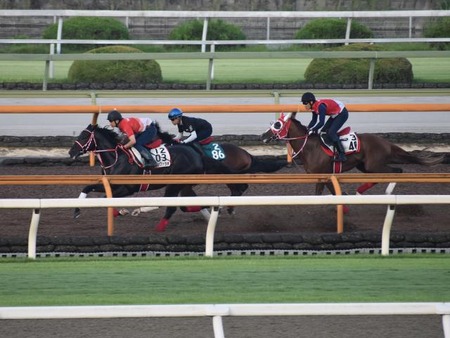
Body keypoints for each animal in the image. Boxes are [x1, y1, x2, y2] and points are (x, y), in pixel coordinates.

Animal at [68, 123, 241, 232]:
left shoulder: (127, 188)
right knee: (187, 203)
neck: (116, 158)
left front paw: (121, 211)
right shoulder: (110, 184)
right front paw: (77, 210)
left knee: (173, 206)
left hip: (176, 183)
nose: (71, 152)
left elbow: (105, 198)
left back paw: (157, 227)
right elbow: (90, 189)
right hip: (185, 184)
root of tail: (197, 153)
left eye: (83, 137)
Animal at [260, 111, 442, 195]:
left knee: (397, 171)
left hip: (374, 165)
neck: (309, 147)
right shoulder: (325, 175)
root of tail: (385, 143)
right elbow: (333, 191)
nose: (263, 136)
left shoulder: (321, 175)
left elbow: (320, 193)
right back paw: (360, 191)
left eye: (277, 125)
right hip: (365, 167)